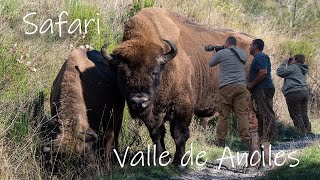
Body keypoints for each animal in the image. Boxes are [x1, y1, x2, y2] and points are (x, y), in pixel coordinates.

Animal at [101, 8, 256, 166]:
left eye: (154, 72)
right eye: (122, 74)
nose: (139, 101)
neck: (166, 66)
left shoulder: (182, 107)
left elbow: (179, 134)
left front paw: (179, 161)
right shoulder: (152, 114)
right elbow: (157, 134)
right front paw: (161, 159)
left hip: (248, 103)